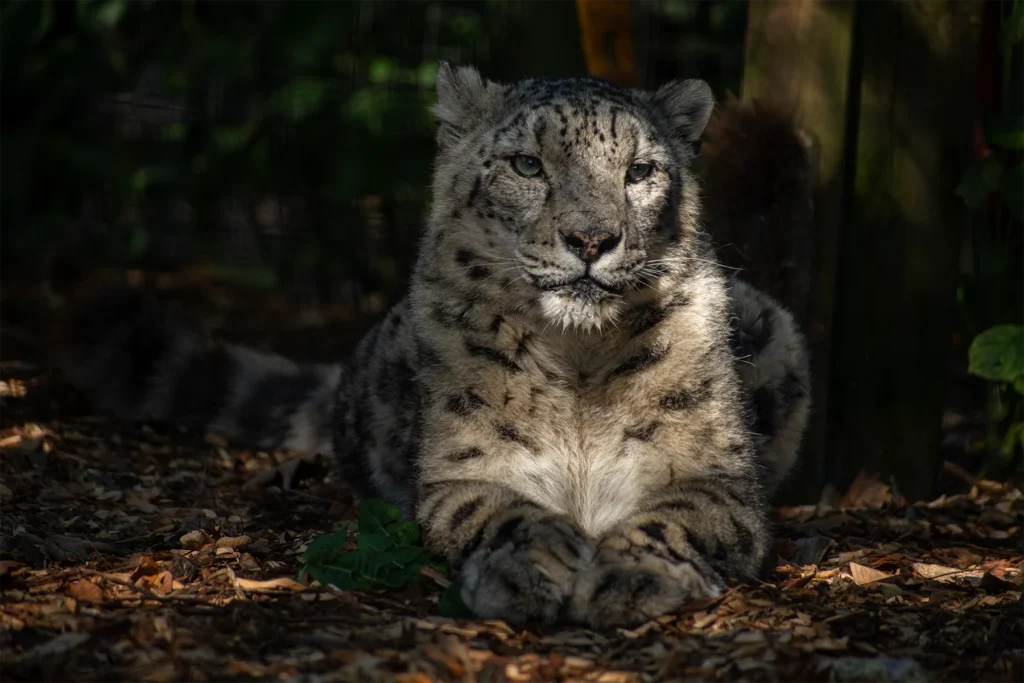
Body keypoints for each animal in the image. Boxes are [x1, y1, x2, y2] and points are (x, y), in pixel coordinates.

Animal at [61, 62, 812, 628]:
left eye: (640, 171)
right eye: (527, 164)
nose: (592, 239)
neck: (579, 366)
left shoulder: (713, 473)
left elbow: (674, 517)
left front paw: (632, 573)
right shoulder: (469, 466)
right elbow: (507, 514)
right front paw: (525, 571)